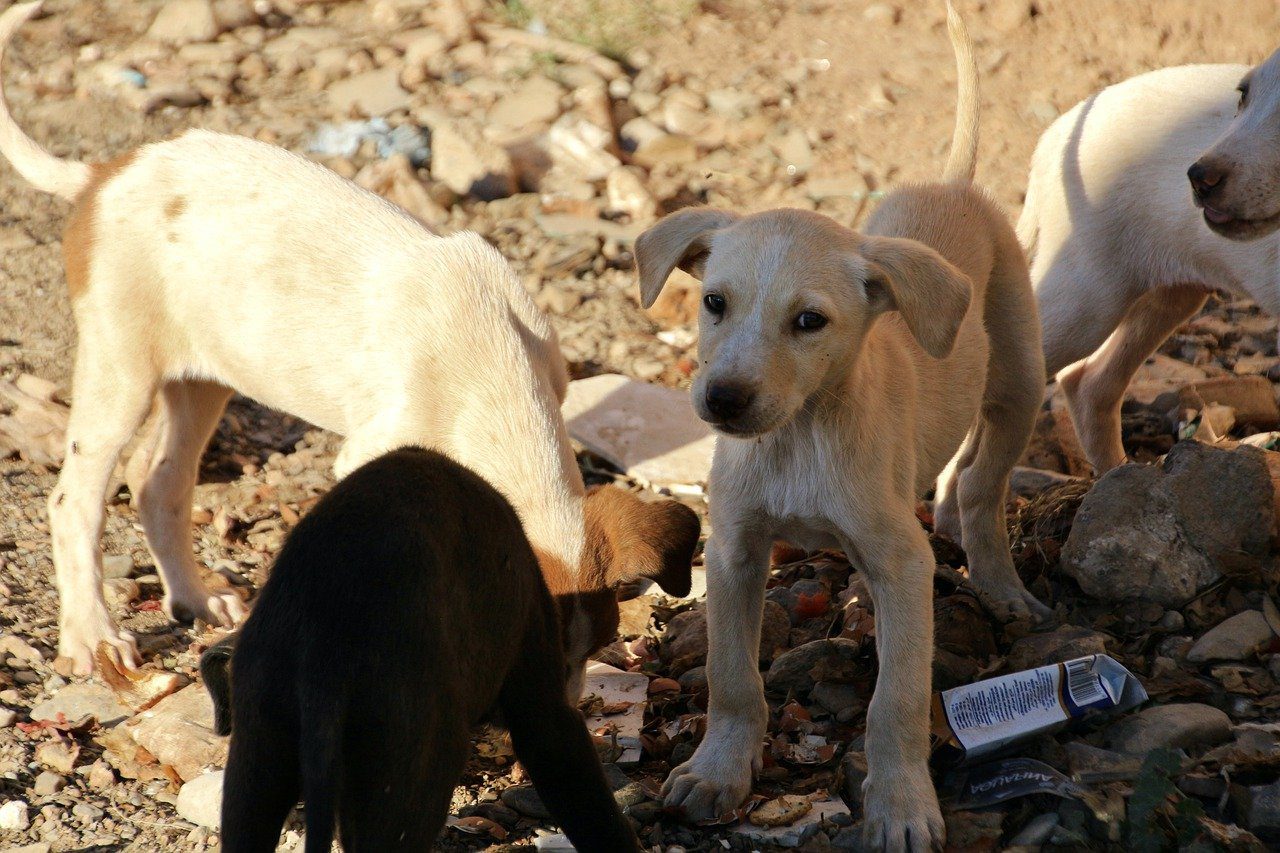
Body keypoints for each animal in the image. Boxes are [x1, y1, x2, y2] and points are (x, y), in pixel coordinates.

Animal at [0, 0, 701, 676]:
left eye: (593, 649)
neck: (490, 374)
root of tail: (103, 174)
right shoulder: (370, 453)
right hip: (120, 368)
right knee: (74, 501)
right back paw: (92, 635)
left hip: (204, 378)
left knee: (158, 483)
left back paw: (196, 600)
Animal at [634, 3, 1044, 845]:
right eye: (713, 301)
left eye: (809, 321)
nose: (724, 399)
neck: (799, 436)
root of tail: (951, 185)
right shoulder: (734, 549)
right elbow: (730, 675)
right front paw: (717, 769)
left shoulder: (903, 561)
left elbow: (897, 701)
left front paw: (902, 804)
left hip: (1019, 378)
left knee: (983, 489)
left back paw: (1000, 583)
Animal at [1024, 48, 1280, 471]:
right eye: (1243, 95)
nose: (1199, 178)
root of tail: (1055, 134)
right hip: (1085, 299)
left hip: (1165, 295)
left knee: (1088, 383)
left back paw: (1116, 476)